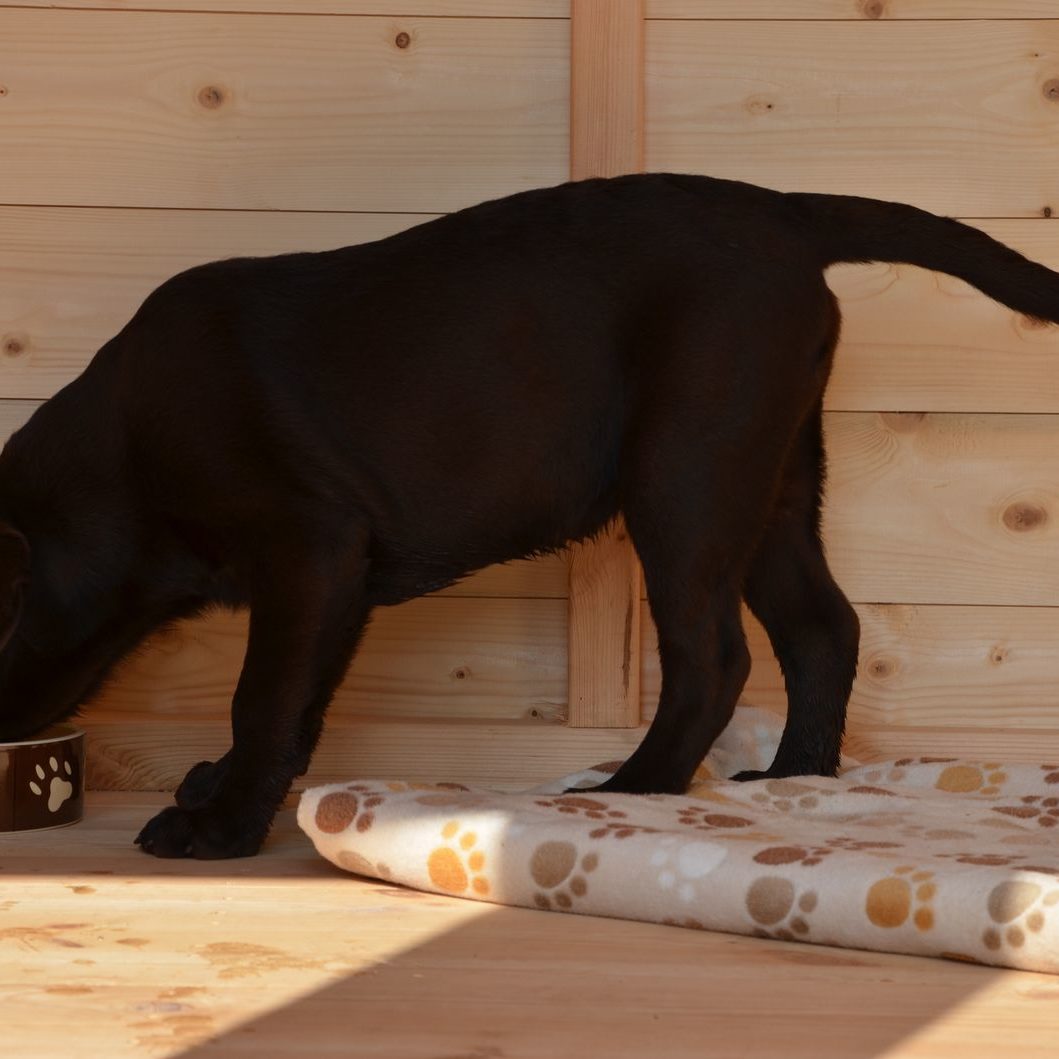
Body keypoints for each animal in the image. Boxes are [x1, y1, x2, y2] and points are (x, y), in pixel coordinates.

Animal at [1, 173, 1056, 858]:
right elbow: (298, 702)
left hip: (685, 474)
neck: (121, 458)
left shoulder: (308, 548)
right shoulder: (333, 583)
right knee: (821, 628)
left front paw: (218, 828)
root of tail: (785, 213)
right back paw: (792, 779)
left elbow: (262, 694)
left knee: (714, 657)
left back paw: (629, 792)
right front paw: (226, 789)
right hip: (774, 482)